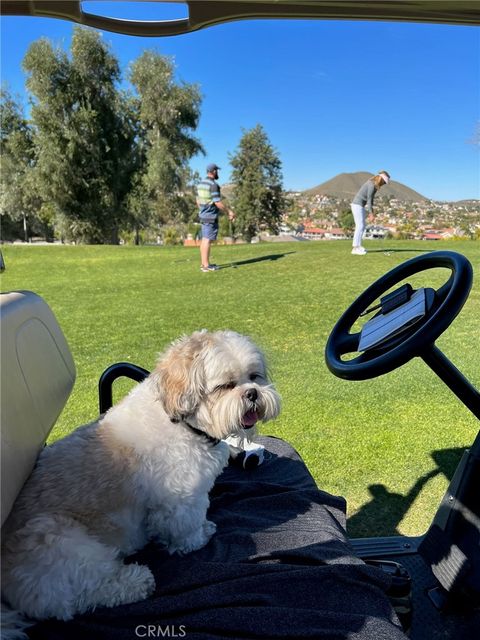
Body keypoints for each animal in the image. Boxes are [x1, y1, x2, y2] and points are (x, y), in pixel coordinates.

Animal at [0, 336, 282, 632]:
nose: (252, 393)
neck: (181, 422)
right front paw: (199, 537)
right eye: (225, 386)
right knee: (81, 594)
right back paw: (136, 581)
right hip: (62, 544)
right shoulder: (181, 497)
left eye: (254, 377)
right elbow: (185, 526)